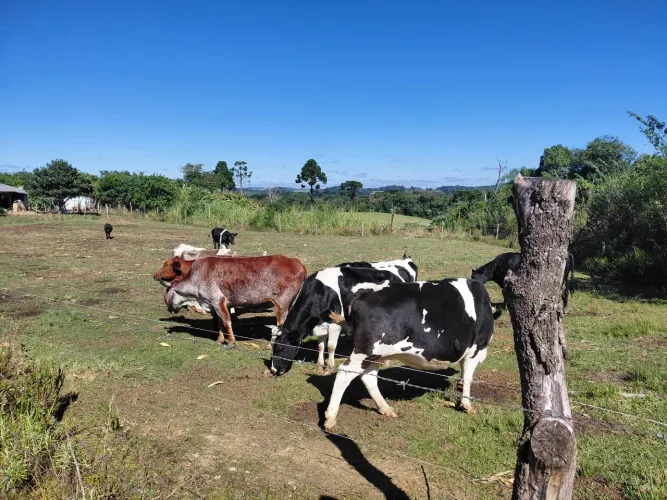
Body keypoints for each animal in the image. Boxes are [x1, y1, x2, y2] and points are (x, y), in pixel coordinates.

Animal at [161, 255, 306, 345]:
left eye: (167, 292)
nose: (168, 307)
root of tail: (297, 263)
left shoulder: (218, 301)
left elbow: (226, 321)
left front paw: (231, 341)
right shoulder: (216, 305)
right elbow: (220, 322)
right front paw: (220, 339)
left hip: (282, 304)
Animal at [269, 257, 419, 376]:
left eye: (279, 348)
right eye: (272, 347)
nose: (273, 370)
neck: (322, 292)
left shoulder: (335, 324)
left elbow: (330, 346)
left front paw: (329, 368)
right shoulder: (321, 324)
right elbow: (321, 345)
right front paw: (319, 365)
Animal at [322, 278, 500, 430]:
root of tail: (363, 293)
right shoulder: (476, 349)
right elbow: (469, 378)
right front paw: (467, 405)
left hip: (376, 354)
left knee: (369, 376)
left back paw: (385, 408)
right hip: (365, 351)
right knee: (344, 373)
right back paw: (330, 418)